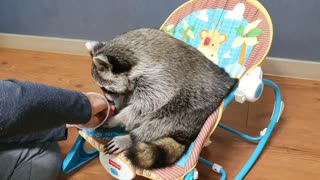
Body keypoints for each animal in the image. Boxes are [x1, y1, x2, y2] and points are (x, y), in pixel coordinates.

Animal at [85, 27, 238, 169]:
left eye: (105, 89)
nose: (109, 101)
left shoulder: (158, 74)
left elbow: (150, 102)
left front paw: (119, 118)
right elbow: (130, 95)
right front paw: (120, 106)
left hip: (195, 105)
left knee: (164, 117)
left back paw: (132, 137)